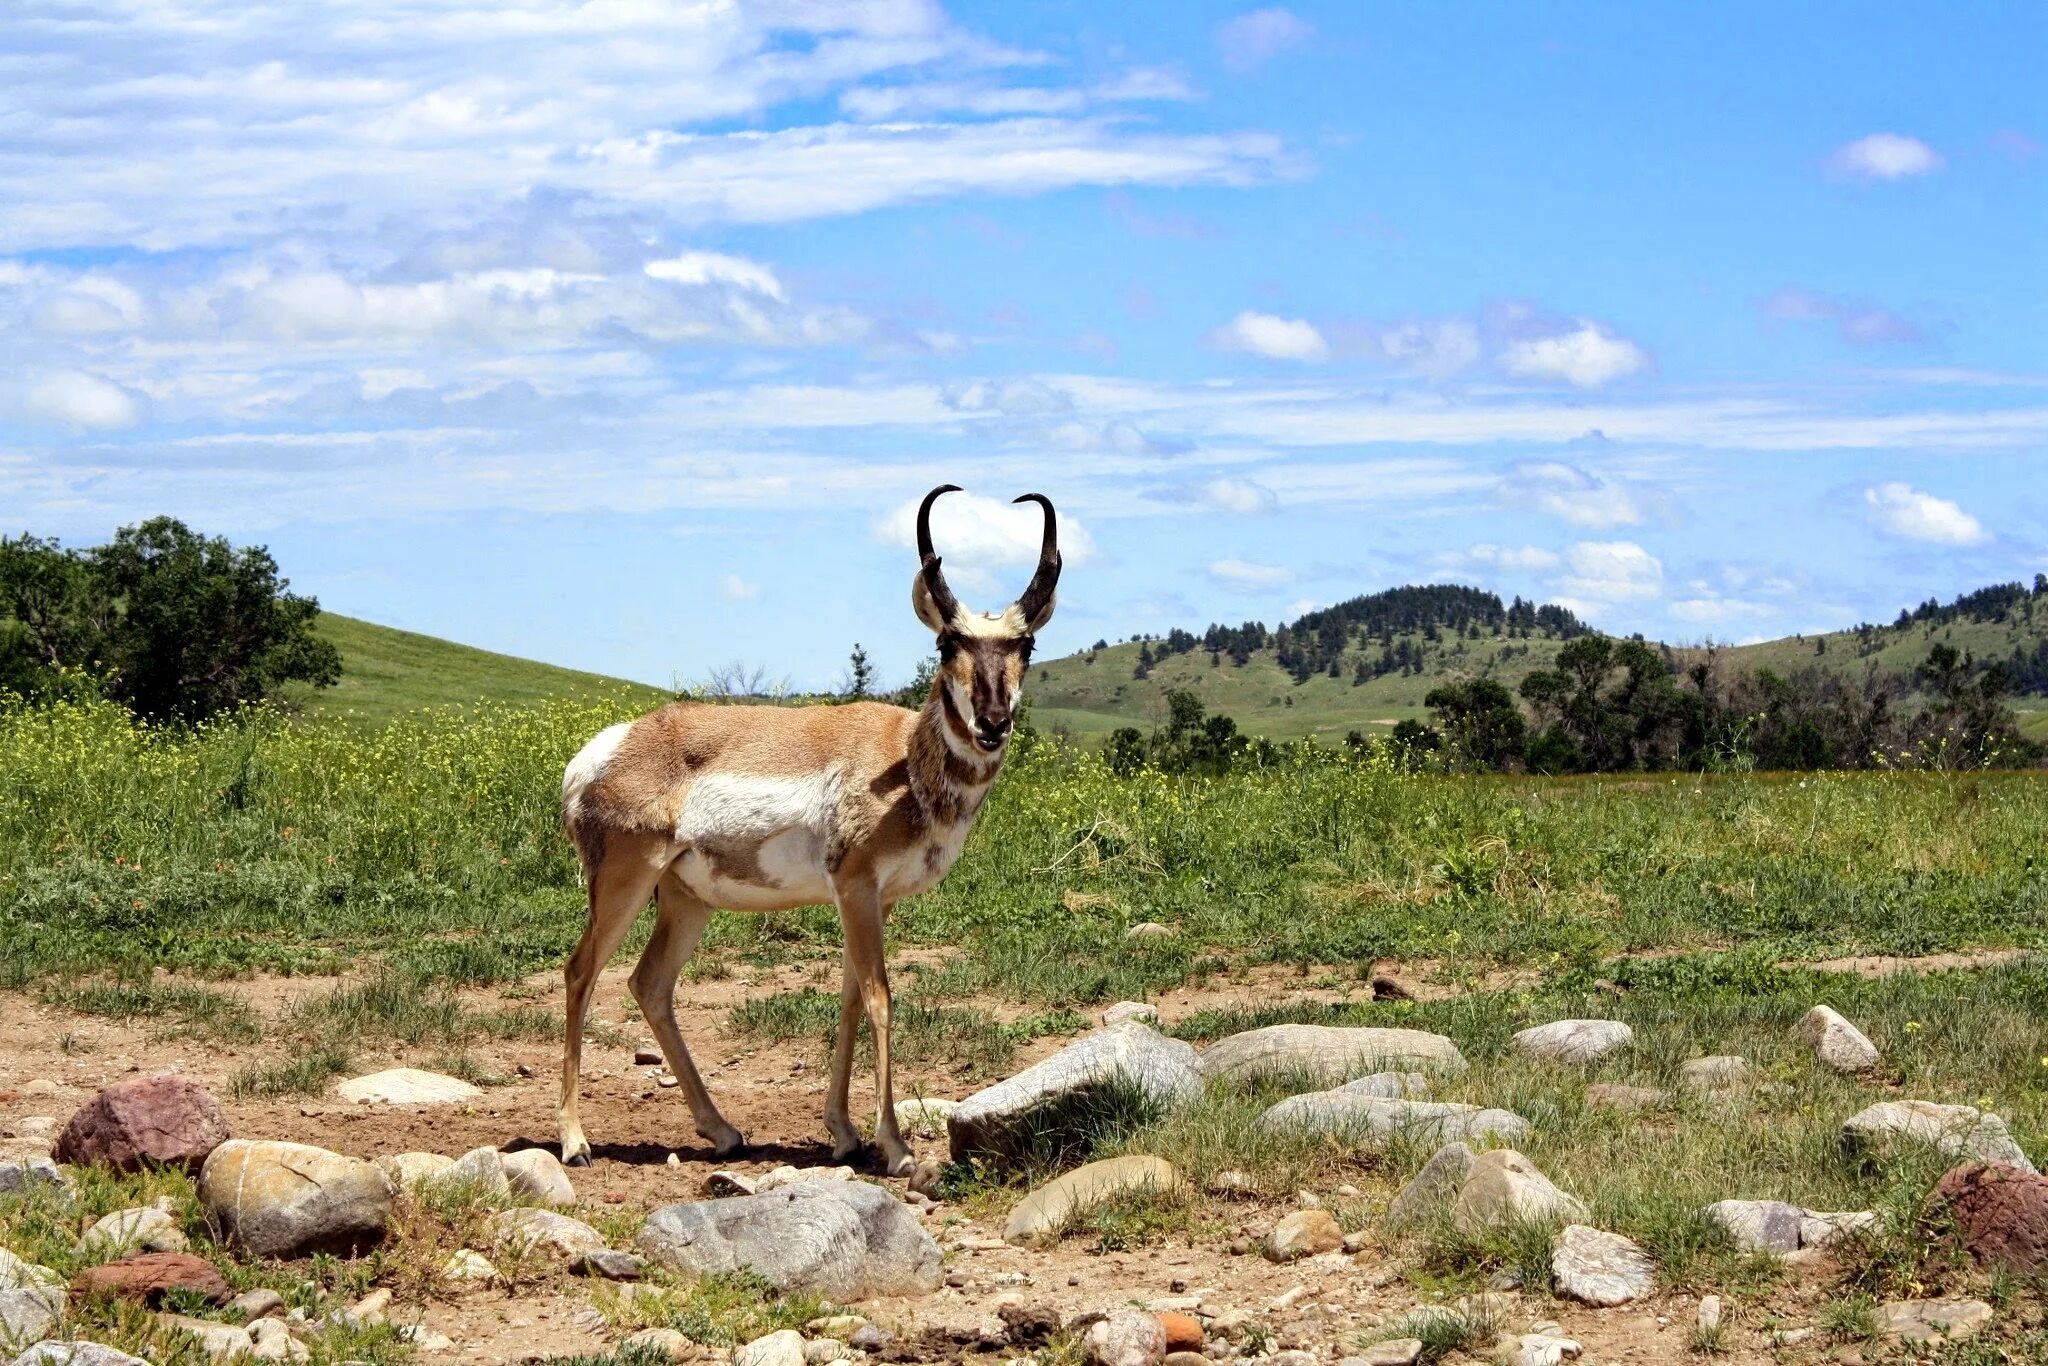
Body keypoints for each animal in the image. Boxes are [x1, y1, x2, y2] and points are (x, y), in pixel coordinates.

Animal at [561, 485, 1064, 1171]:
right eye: (946, 645)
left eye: (1026, 647)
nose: (992, 721)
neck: (903, 760)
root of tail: (611, 746)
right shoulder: (854, 888)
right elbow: (880, 997)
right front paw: (897, 1146)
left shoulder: (873, 899)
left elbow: (850, 998)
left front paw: (846, 1133)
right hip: (624, 884)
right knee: (580, 971)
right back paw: (574, 1142)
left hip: (686, 901)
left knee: (650, 983)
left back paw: (723, 1130)